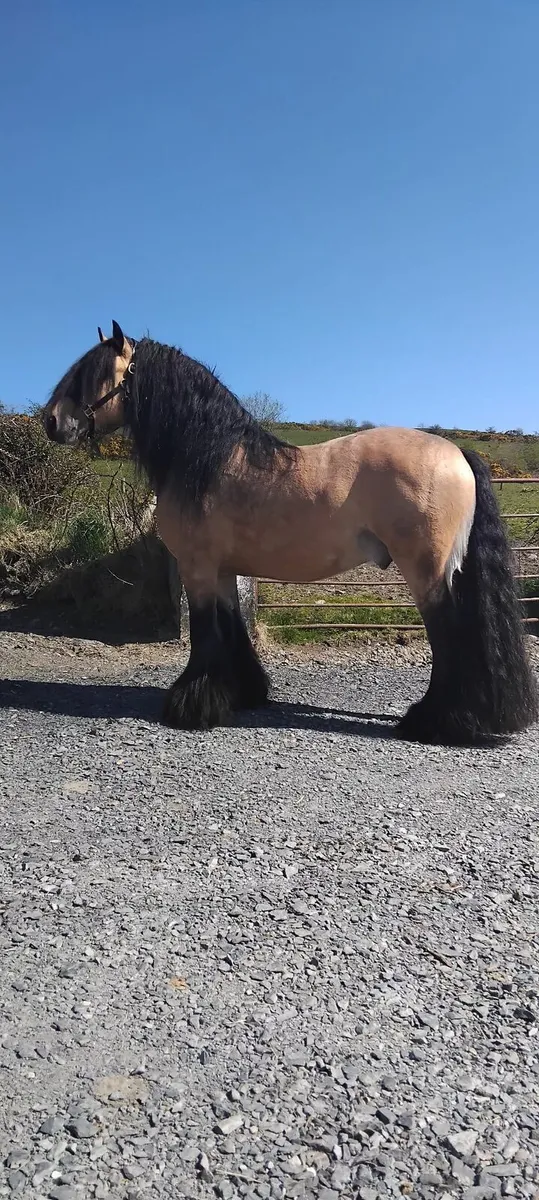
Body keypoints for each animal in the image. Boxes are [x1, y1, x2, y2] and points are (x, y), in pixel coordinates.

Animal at [43, 320, 538, 745]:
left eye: (90, 374)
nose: (50, 421)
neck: (208, 458)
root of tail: (456, 452)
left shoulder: (197, 569)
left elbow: (204, 634)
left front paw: (191, 706)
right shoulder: (223, 571)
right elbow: (232, 628)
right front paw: (243, 694)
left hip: (427, 572)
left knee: (450, 635)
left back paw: (436, 721)